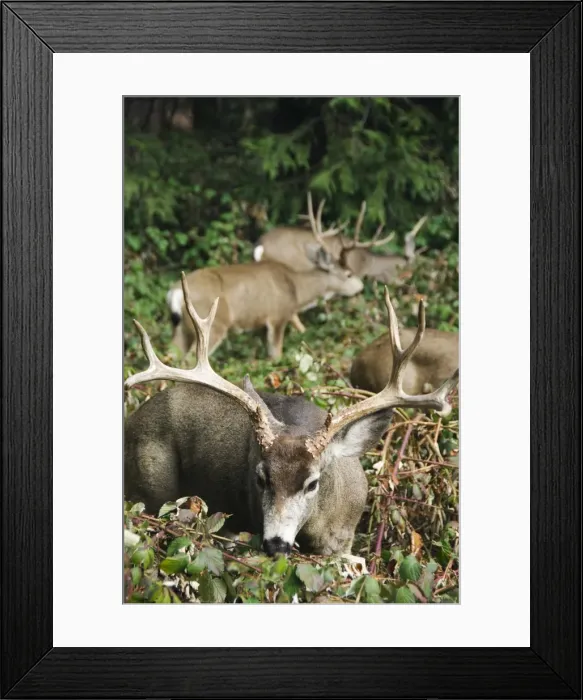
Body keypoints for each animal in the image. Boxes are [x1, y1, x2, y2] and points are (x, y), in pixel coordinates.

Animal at [125, 273, 458, 557]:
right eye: (261, 478)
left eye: (312, 483)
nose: (276, 544)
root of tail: (131, 420)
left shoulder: (345, 540)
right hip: (151, 484)